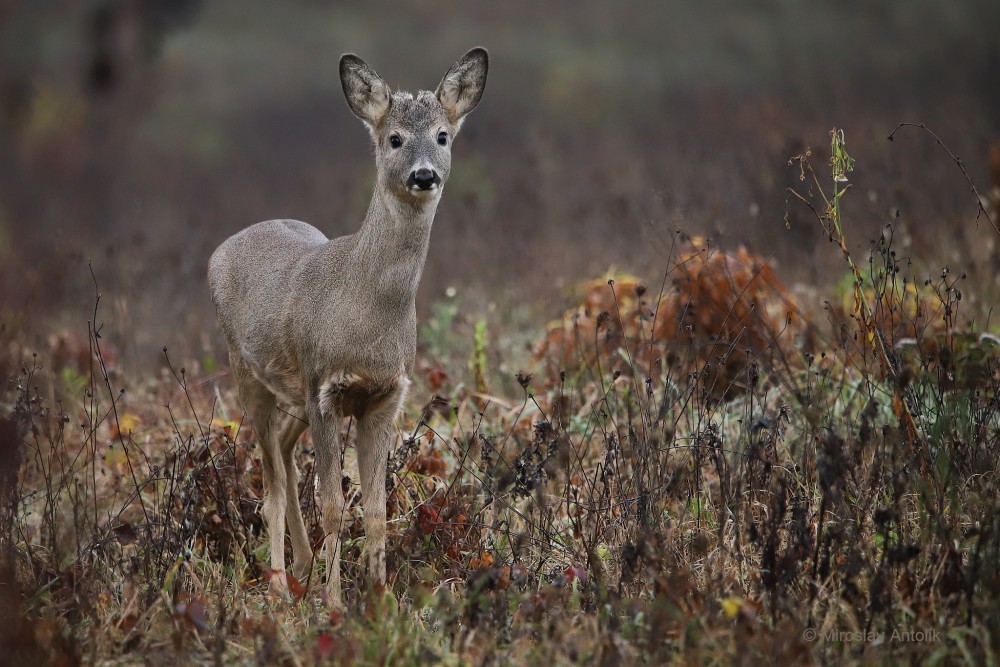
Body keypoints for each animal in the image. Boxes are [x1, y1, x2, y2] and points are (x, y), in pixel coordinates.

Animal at [209, 49, 490, 608]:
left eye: (443, 135)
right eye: (394, 138)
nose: (424, 174)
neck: (367, 320)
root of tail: (219, 252)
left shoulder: (384, 395)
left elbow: (378, 509)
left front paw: (380, 597)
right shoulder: (326, 388)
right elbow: (335, 505)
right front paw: (335, 603)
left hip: (292, 394)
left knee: (286, 458)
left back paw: (301, 565)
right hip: (247, 374)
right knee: (272, 485)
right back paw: (280, 584)